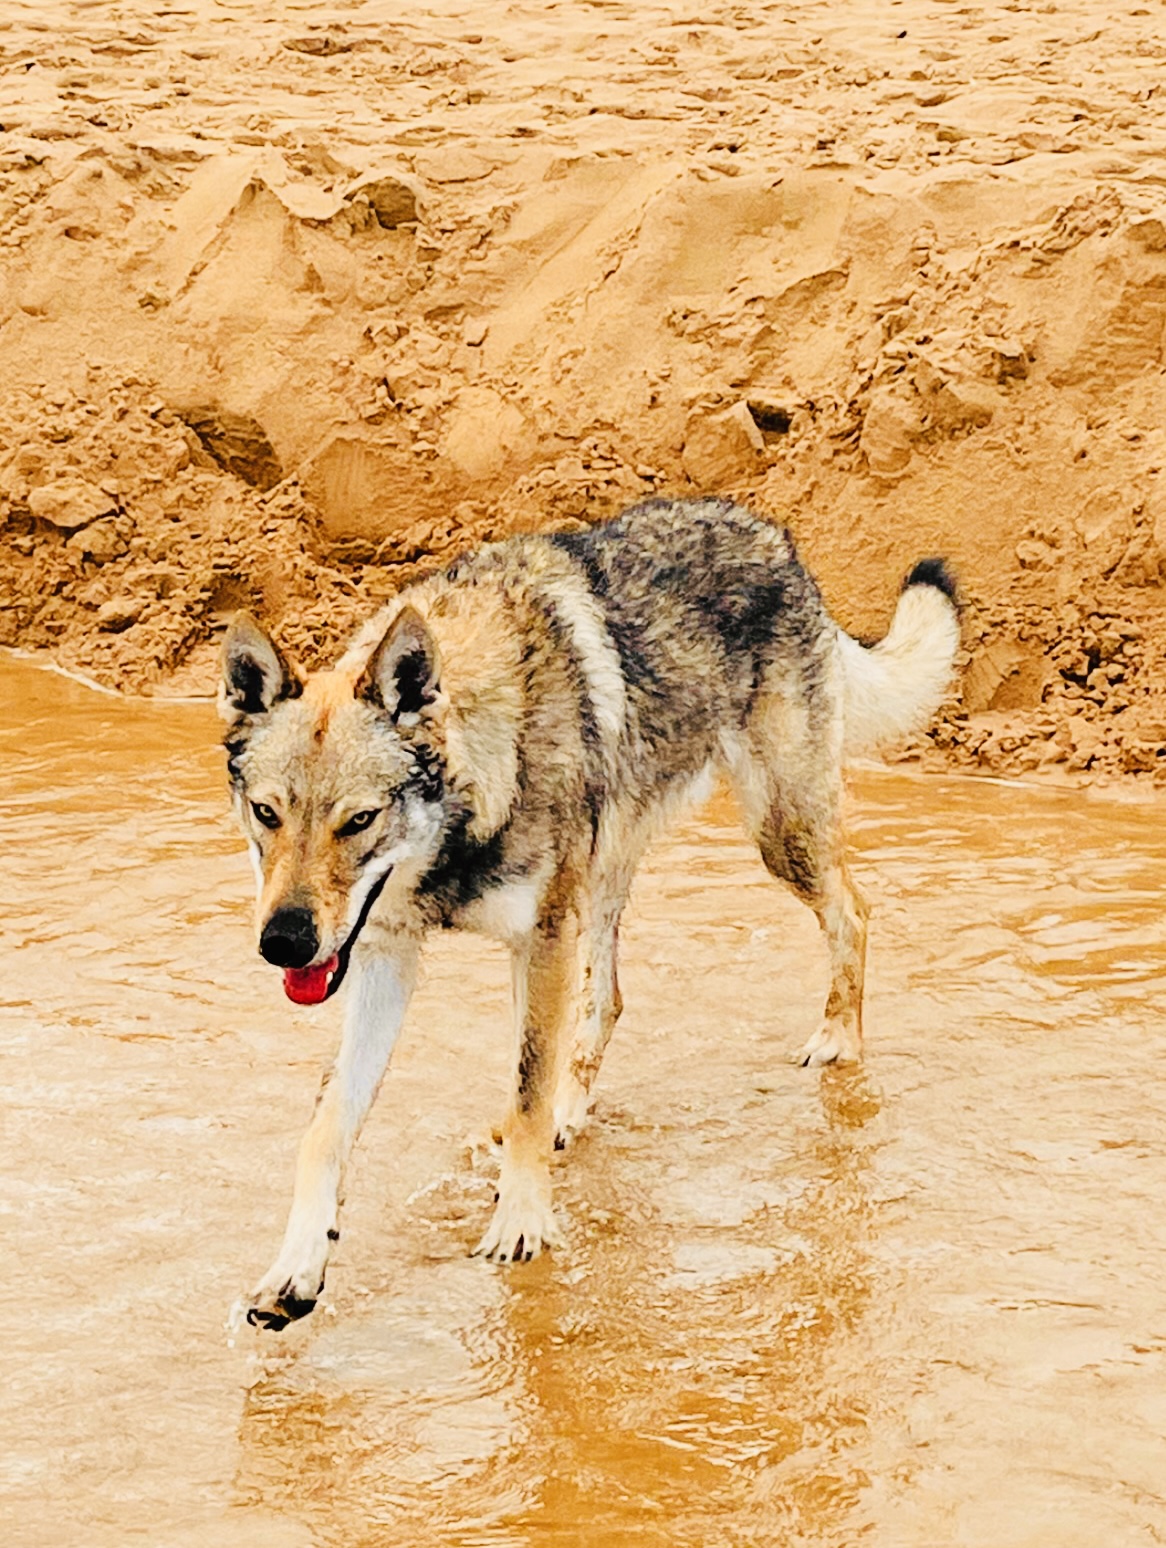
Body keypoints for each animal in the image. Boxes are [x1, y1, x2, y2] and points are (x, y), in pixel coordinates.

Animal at [220, 496, 959, 1329]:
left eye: (358, 820)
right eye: (267, 814)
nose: (284, 943)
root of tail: (771, 533)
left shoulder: (538, 940)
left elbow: (525, 1086)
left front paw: (520, 1224)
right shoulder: (386, 958)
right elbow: (326, 1129)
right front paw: (295, 1269)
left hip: (776, 837)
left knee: (854, 910)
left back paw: (838, 1039)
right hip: (606, 882)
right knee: (608, 1000)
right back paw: (572, 1114)